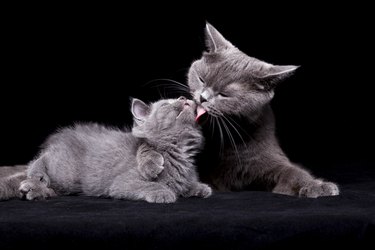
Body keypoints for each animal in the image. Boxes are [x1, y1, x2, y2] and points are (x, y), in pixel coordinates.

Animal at [0, 96, 212, 202]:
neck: (180, 151)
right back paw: (35, 181)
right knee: (39, 160)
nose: (183, 96)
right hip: (66, 173)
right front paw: (163, 193)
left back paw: (35, 191)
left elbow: (186, 185)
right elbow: (148, 185)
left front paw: (198, 188)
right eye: (167, 103)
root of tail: (62, 137)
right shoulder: (122, 183)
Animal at [189, 23, 340, 199]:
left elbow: (293, 172)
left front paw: (317, 185)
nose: (202, 98)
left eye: (224, 94)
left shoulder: (267, 157)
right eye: (201, 79)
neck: (227, 139)